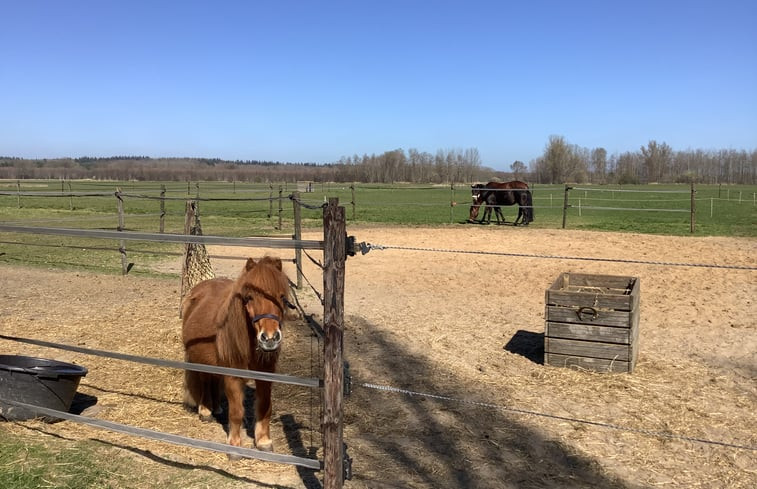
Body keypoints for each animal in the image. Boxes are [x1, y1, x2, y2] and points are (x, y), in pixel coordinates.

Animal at [182, 258, 290, 452]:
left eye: (282, 297)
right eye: (249, 297)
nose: (270, 338)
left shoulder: (266, 374)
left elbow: (264, 406)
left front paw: (263, 441)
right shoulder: (233, 375)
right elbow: (236, 411)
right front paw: (235, 446)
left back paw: (216, 408)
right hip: (200, 360)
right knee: (205, 381)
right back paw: (206, 411)